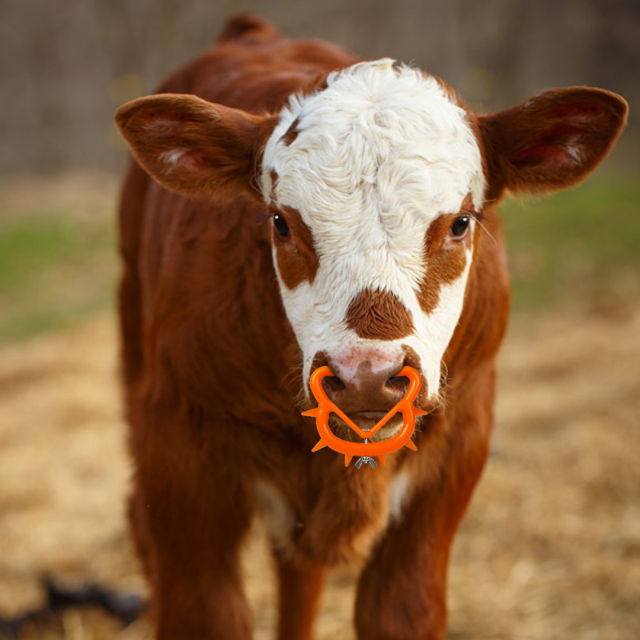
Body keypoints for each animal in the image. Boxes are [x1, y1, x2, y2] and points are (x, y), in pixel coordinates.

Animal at [114, 13, 627, 640]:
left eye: (460, 222)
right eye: (281, 223)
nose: (367, 377)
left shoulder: (457, 448)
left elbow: (401, 610)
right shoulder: (179, 455)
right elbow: (207, 613)